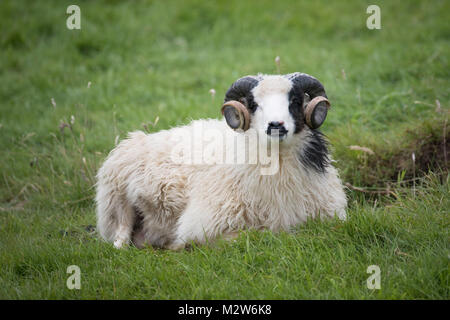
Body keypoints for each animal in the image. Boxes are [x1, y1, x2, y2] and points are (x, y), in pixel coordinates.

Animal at [96, 73, 348, 250]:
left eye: (295, 101)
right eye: (253, 104)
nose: (276, 125)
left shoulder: (331, 216)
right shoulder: (205, 224)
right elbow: (251, 235)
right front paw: (181, 245)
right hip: (117, 201)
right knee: (120, 240)